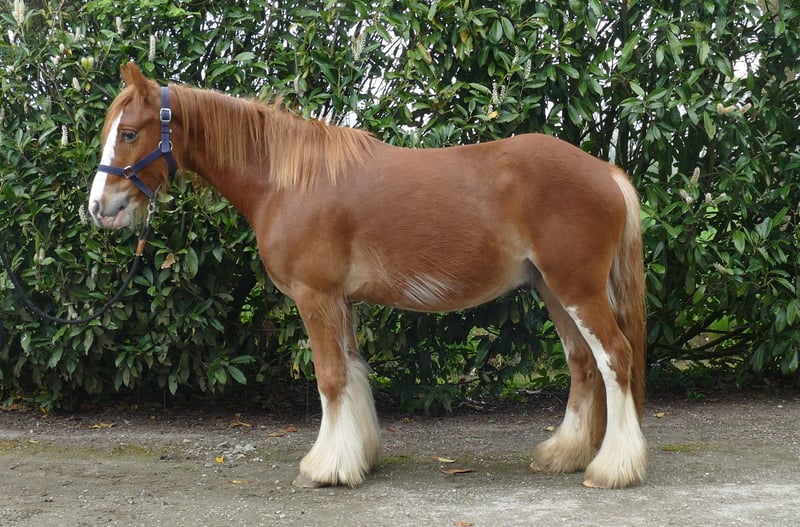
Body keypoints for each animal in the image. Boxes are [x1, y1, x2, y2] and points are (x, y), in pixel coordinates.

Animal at [88, 62, 647, 489]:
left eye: (129, 133)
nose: (97, 208)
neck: (287, 181)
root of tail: (605, 171)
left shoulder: (315, 297)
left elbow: (330, 378)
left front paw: (326, 468)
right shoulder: (341, 301)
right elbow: (354, 372)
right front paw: (358, 456)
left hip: (577, 289)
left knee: (614, 358)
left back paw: (612, 469)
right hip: (554, 290)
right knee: (583, 363)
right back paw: (564, 455)